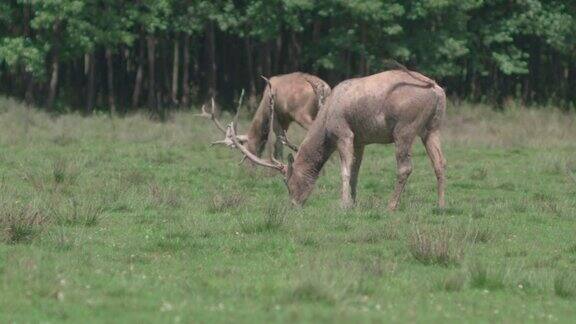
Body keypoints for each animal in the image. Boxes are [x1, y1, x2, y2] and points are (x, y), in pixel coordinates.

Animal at [199, 73, 330, 160]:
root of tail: (325, 88)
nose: (249, 170)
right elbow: (281, 140)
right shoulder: (285, 120)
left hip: (302, 114)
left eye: (246, 151)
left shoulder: (276, 116)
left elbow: (278, 141)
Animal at [218, 67, 448, 213]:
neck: (326, 123)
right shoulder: (361, 139)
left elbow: (345, 170)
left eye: (288, 182)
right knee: (440, 162)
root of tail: (435, 89)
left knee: (405, 167)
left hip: (404, 128)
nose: (293, 205)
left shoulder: (344, 133)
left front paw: (344, 204)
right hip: (433, 127)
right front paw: (354, 202)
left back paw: (391, 206)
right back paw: (441, 205)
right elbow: (355, 170)